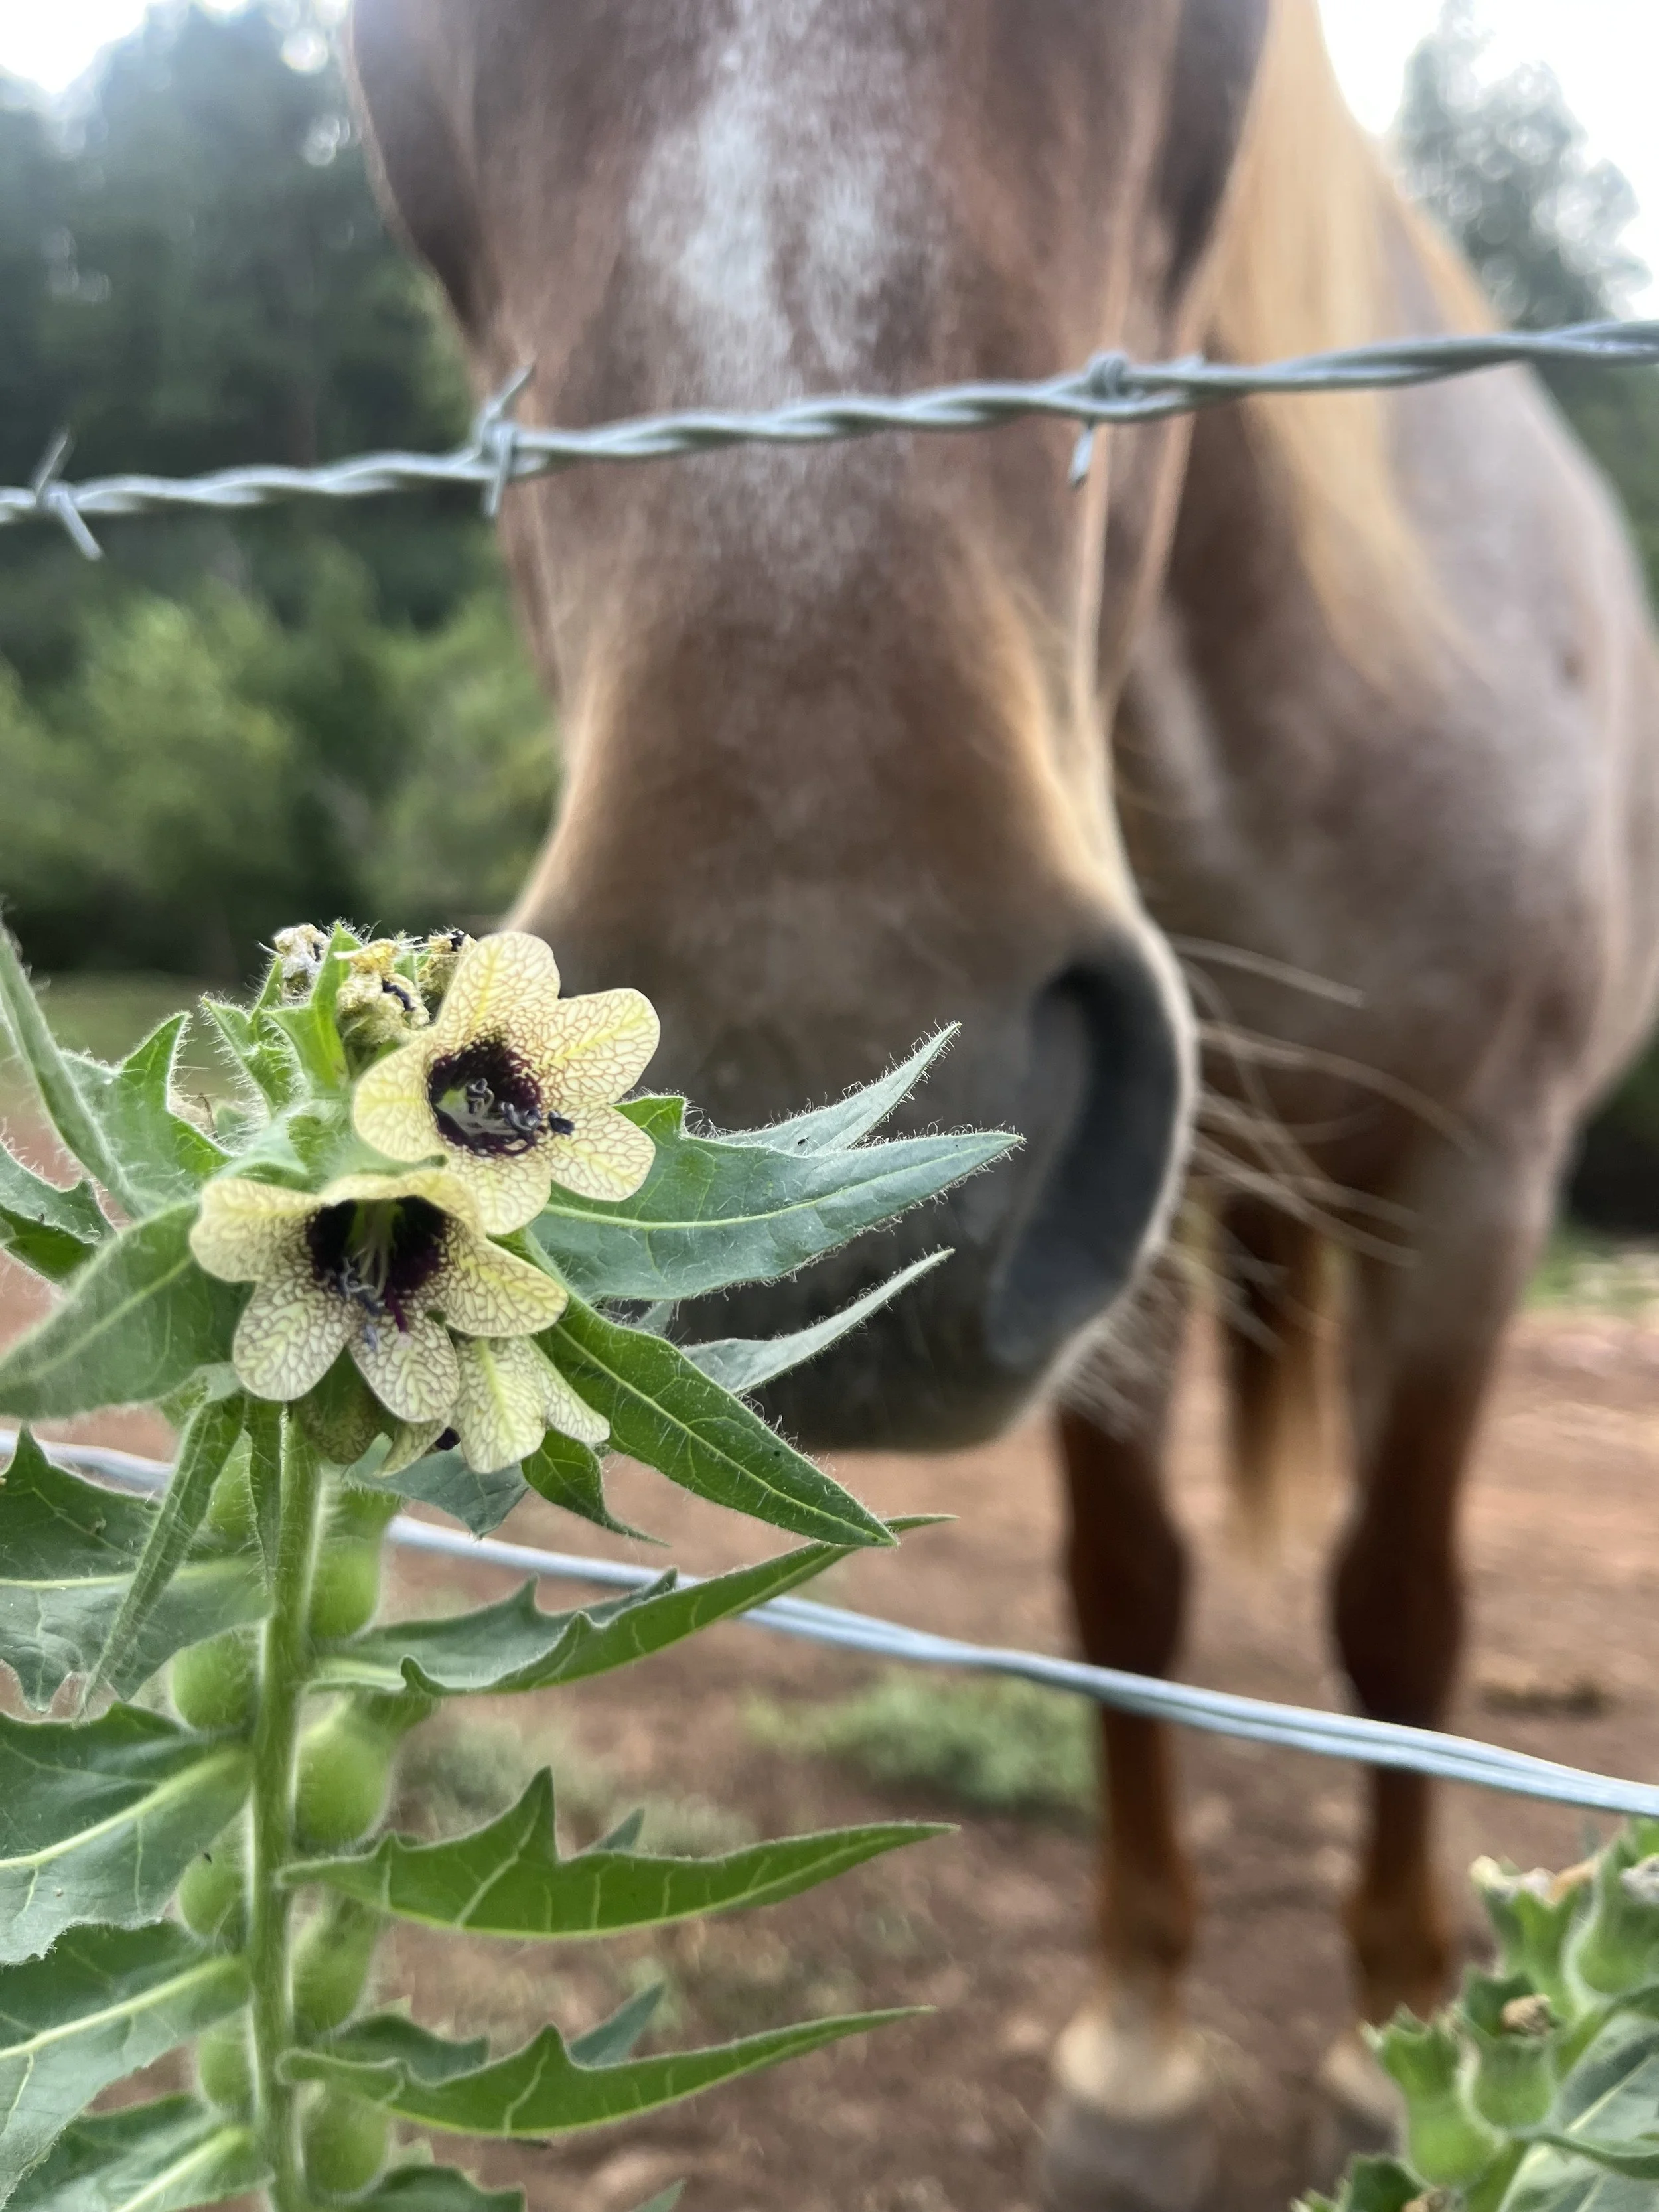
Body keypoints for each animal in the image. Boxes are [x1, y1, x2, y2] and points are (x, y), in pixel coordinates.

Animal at [349, 0, 1659, 2201]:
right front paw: (1131, 2051)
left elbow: (1397, 1611)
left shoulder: (1479, 1176)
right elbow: (1124, 1598)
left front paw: (1391, 2042)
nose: (809, 1091)